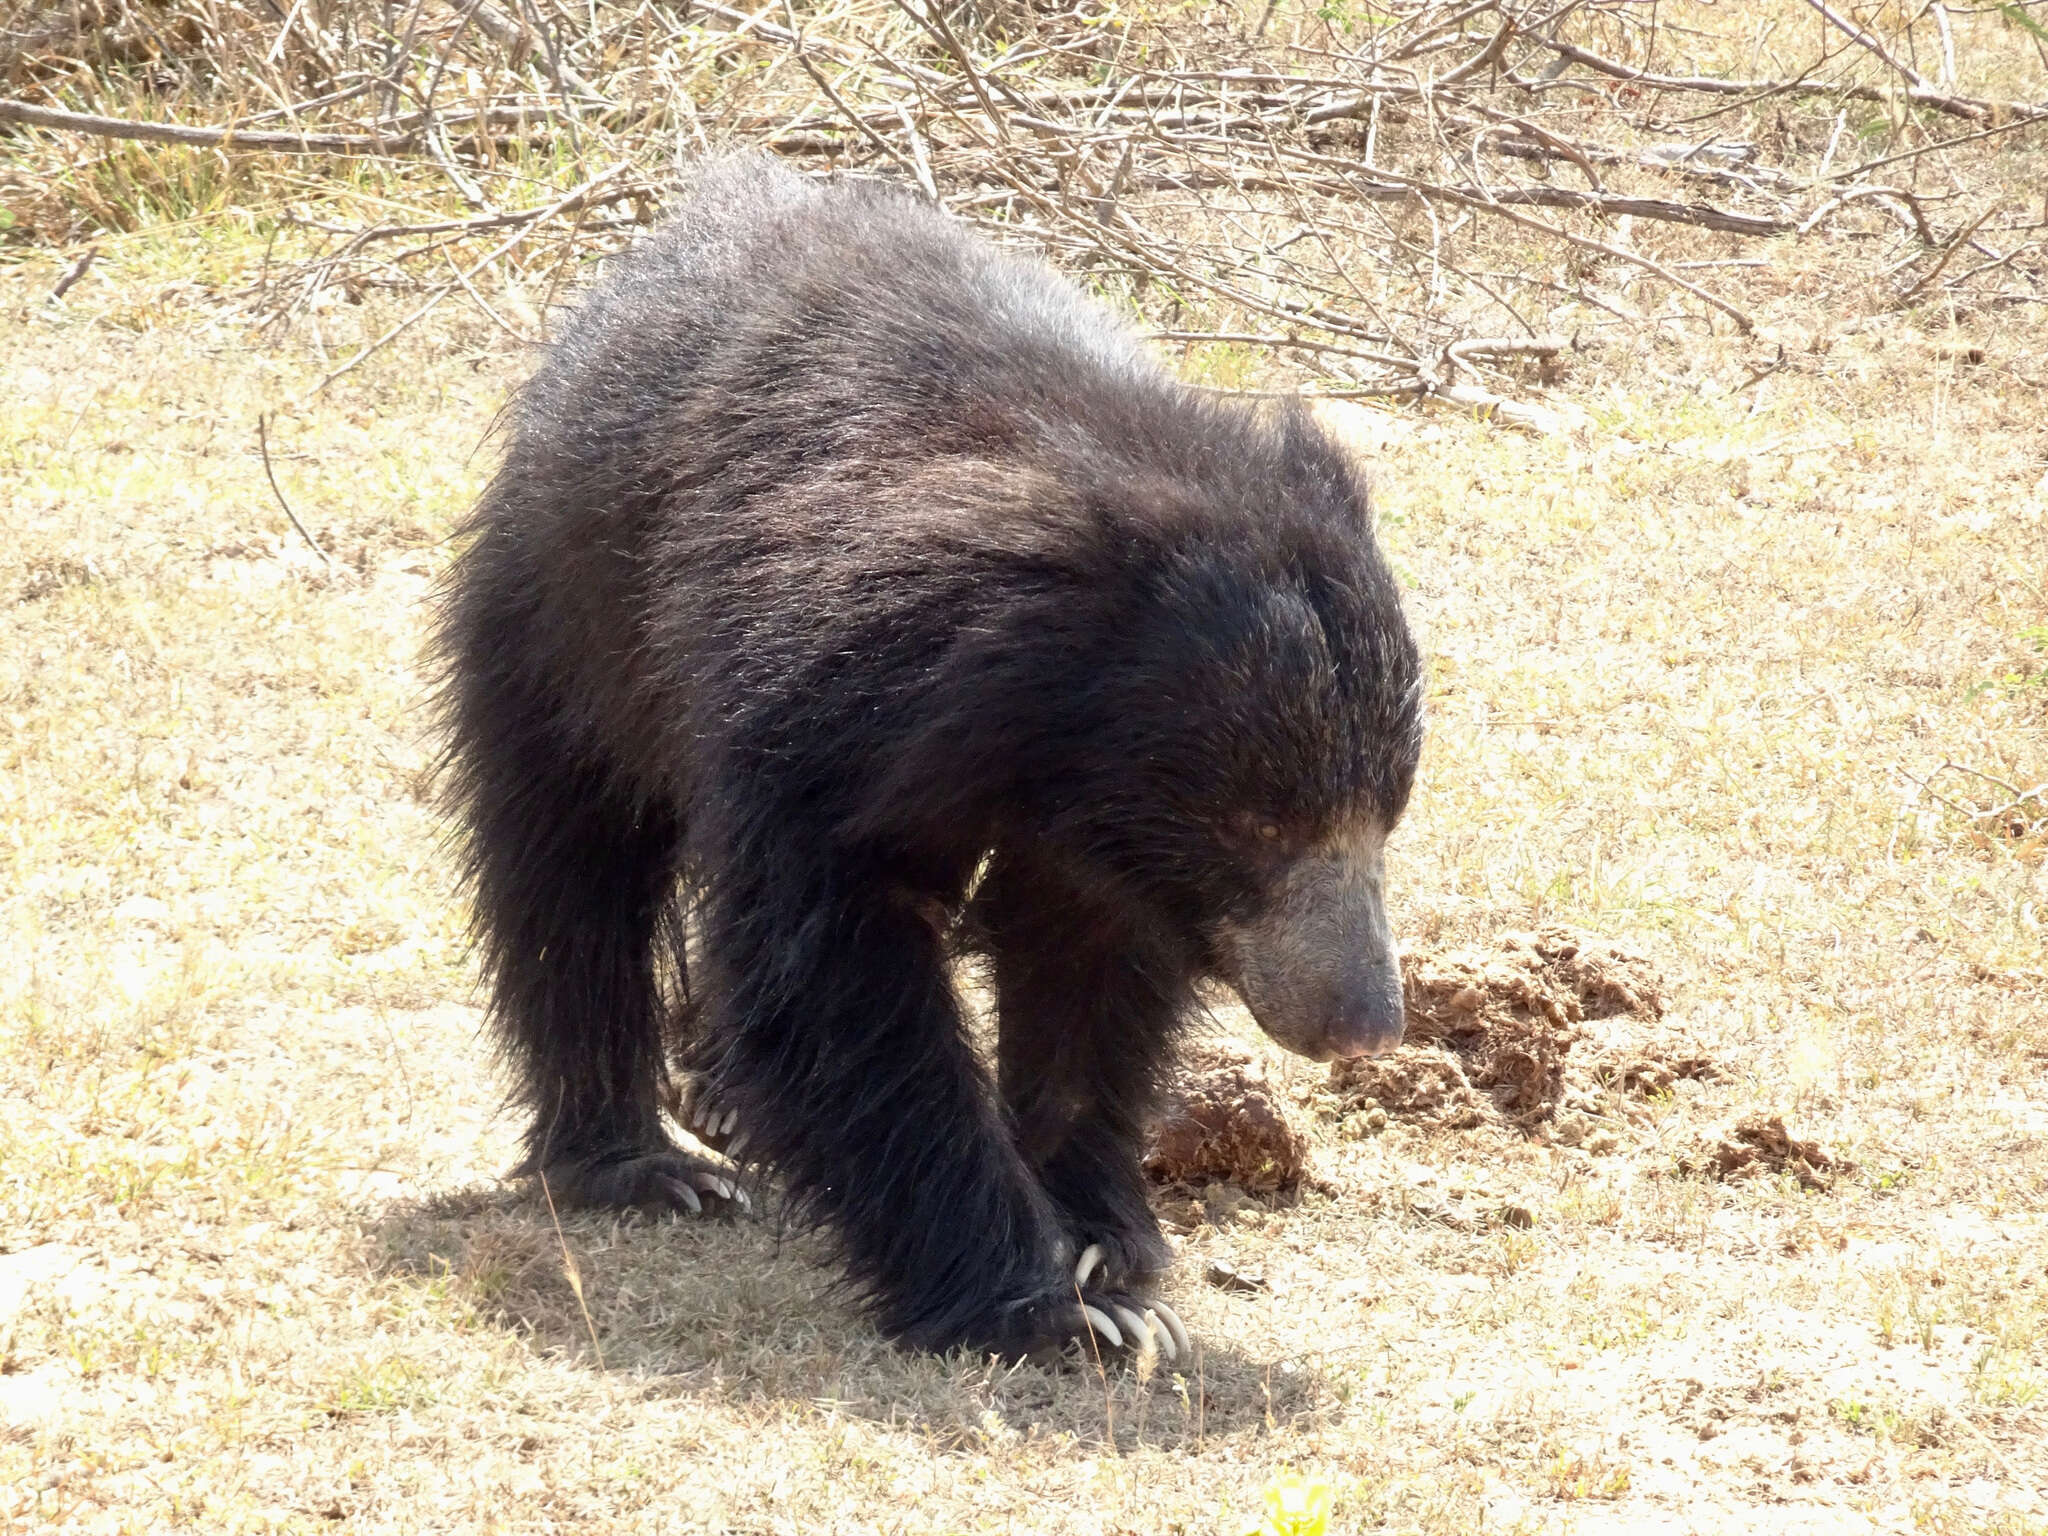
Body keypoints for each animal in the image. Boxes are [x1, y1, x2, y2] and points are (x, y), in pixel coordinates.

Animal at [436, 153, 1425, 1359]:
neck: (1037, 730)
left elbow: (1088, 968)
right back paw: (645, 1166)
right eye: (1261, 822)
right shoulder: (829, 712)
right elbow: (833, 965)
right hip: (565, 620)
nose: (1364, 1028)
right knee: (567, 873)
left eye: (1384, 816)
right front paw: (1054, 1313)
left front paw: (1103, 1240)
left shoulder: (1104, 833)